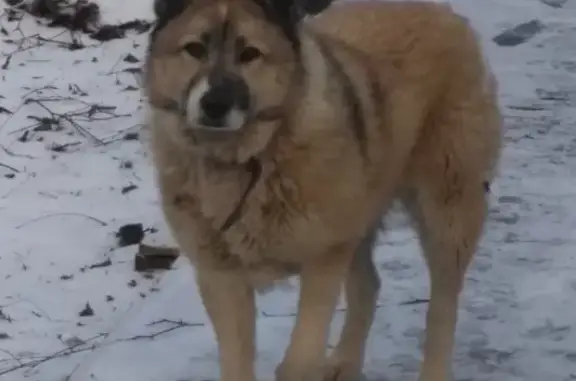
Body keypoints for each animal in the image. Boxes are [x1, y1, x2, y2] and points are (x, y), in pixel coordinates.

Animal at [142, 0, 502, 378]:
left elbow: (298, 361)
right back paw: (345, 362)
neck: (249, 158)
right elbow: (237, 360)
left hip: (446, 211)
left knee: (443, 304)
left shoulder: (323, 259)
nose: (214, 104)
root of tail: (439, 10)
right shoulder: (221, 278)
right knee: (369, 284)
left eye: (249, 53)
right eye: (195, 49)